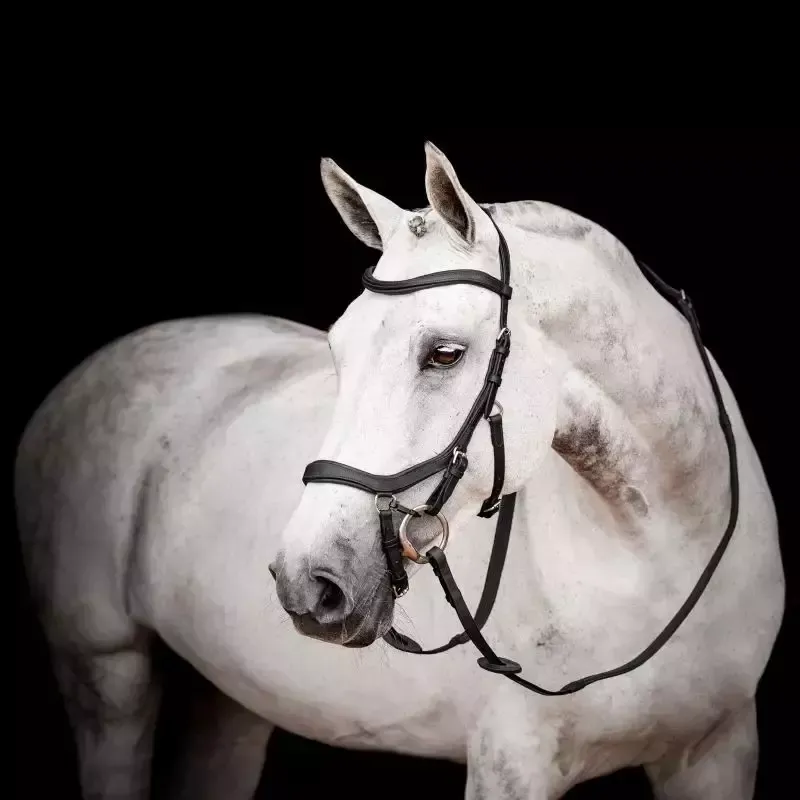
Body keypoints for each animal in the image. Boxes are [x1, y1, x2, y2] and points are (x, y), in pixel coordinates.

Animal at [15, 142, 784, 800]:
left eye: (444, 353)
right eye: (338, 347)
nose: (309, 582)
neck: (653, 559)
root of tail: (87, 374)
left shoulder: (719, 749)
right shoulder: (512, 765)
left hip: (230, 698)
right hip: (106, 673)